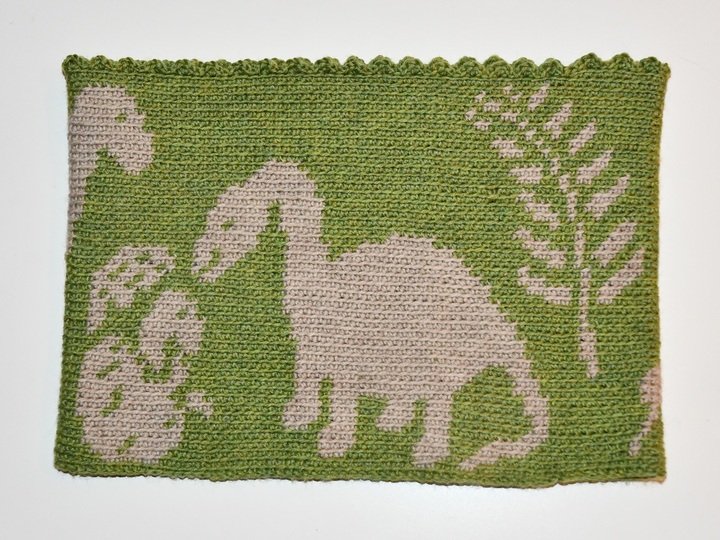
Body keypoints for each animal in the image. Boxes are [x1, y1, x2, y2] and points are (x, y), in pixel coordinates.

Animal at [192, 160, 549, 469]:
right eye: (211, 217)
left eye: (227, 223)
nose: (199, 264)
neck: (321, 283)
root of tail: (499, 320)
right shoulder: (310, 350)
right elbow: (308, 382)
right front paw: (299, 417)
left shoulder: (347, 353)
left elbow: (341, 399)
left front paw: (334, 441)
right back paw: (393, 420)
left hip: (439, 347)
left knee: (440, 397)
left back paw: (427, 450)